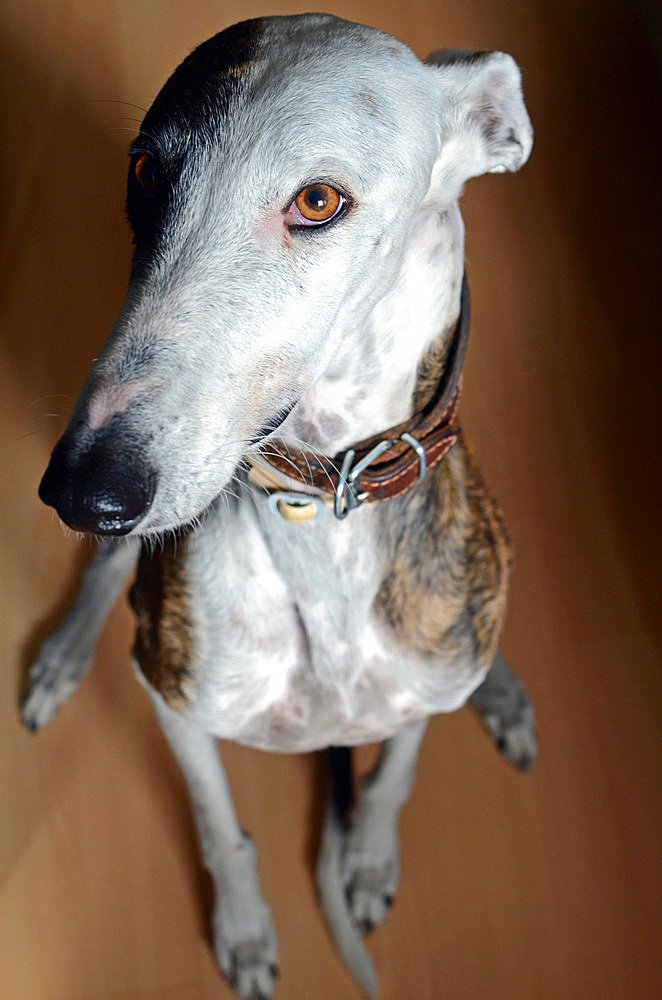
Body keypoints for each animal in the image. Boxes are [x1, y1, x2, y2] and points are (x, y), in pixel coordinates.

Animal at [22, 15, 540, 1000]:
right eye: (147, 171)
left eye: (318, 200)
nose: (84, 493)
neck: (319, 515)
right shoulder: (178, 704)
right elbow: (222, 828)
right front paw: (249, 930)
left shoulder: (420, 682)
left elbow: (397, 764)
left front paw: (366, 856)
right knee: (114, 573)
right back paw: (63, 654)